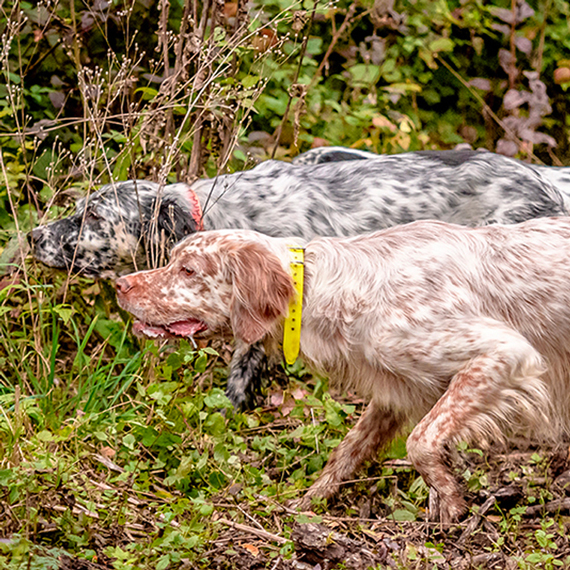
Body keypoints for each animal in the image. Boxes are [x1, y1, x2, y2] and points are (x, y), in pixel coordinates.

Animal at [114, 219, 570, 524]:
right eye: (173, 261)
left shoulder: (503, 354)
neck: (322, 292)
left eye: (188, 270)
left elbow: (420, 443)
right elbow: (347, 451)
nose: (120, 285)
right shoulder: (396, 392)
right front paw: (306, 505)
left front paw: (453, 501)